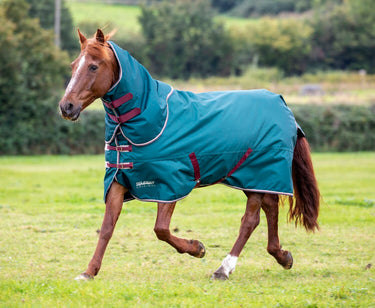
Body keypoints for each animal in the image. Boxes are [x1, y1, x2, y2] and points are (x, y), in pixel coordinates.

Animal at [58, 29, 320, 282]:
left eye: (93, 66)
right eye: (73, 65)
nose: (66, 106)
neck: (148, 118)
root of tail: (284, 106)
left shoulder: (170, 182)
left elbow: (161, 229)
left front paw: (197, 248)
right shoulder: (119, 179)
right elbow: (107, 228)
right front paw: (89, 271)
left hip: (257, 172)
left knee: (250, 220)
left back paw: (223, 269)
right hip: (254, 177)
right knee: (270, 208)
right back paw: (282, 256)